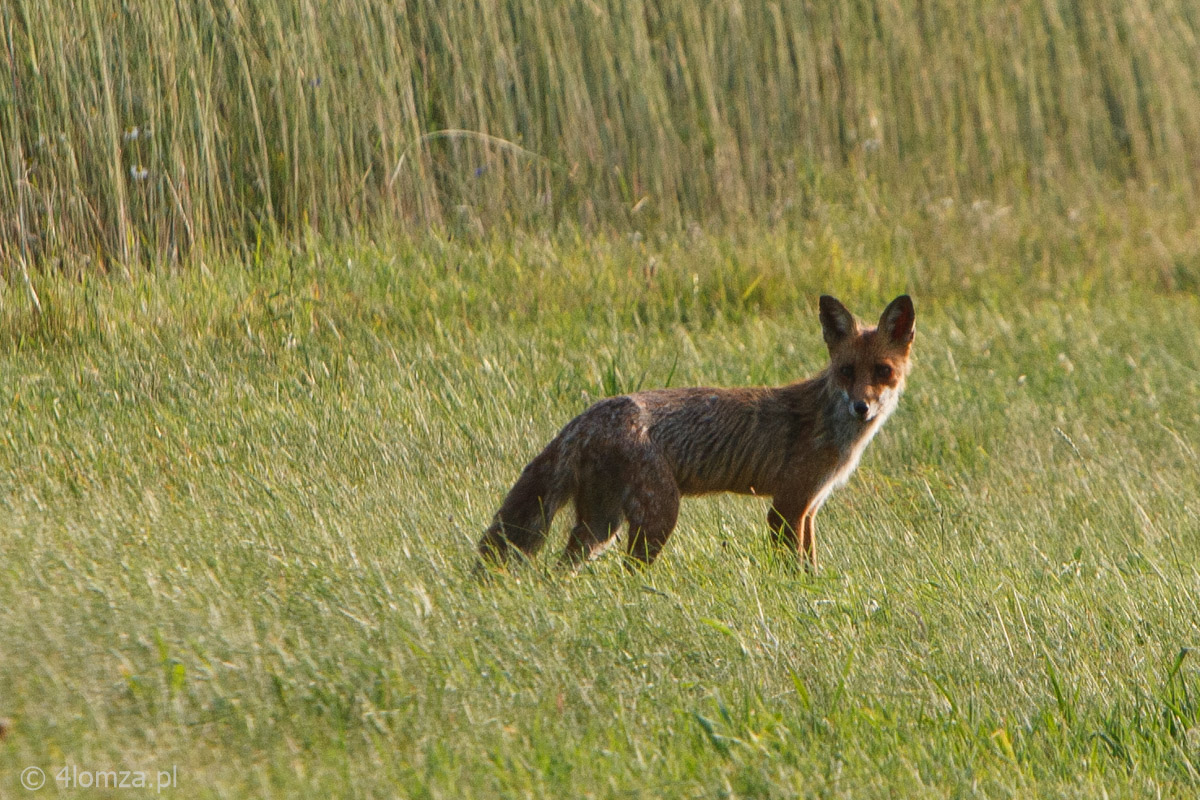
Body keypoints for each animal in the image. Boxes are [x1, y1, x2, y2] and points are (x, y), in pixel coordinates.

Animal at [472, 297, 912, 573]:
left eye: (882, 371)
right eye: (847, 371)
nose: (862, 407)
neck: (831, 425)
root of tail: (591, 414)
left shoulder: (810, 506)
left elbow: (811, 564)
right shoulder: (786, 507)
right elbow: (795, 570)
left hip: (601, 526)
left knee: (559, 571)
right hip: (658, 516)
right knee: (626, 573)